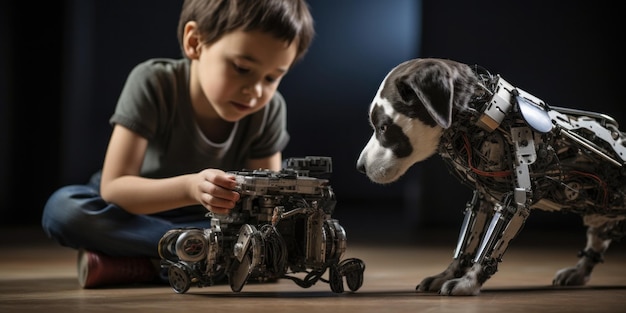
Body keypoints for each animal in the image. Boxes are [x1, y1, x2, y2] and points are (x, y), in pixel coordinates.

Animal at [356, 58, 624, 294]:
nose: (359, 167)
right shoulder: (482, 200)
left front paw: (469, 282)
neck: (485, 115)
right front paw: (448, 274)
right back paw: (578, 272)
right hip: (602, 218)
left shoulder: (517, 201)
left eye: (383, 127)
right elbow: (466, 245)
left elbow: (488, 251)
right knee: (597, 243)